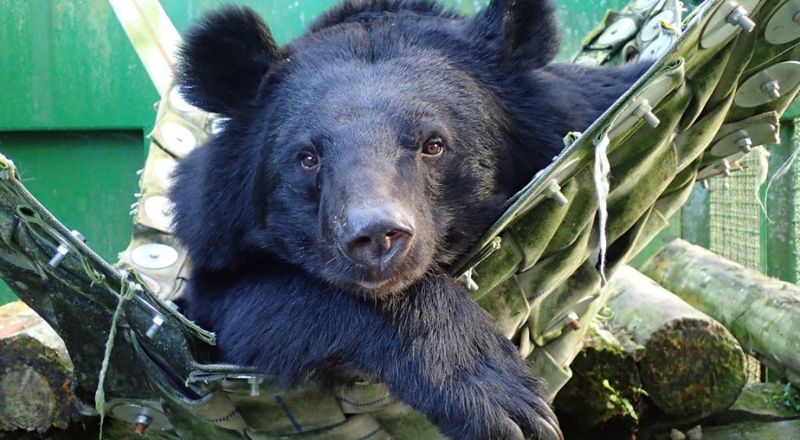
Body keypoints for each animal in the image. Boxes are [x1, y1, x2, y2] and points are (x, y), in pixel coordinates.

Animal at [170, 1, 648, 439]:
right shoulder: (215, 243)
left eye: (433, 145)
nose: (376, 238)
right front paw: (504, 401)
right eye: (307, 157)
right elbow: (252, 305)